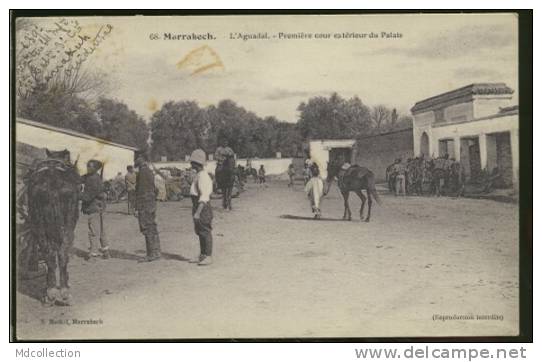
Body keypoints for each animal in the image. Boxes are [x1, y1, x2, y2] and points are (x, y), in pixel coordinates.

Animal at [25, 149, 81, 306]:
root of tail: (53, 183)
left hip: (39, 225)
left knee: (49, 254)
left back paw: (50, 292)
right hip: (68, 226)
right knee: (62, 253)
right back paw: (64, 291)